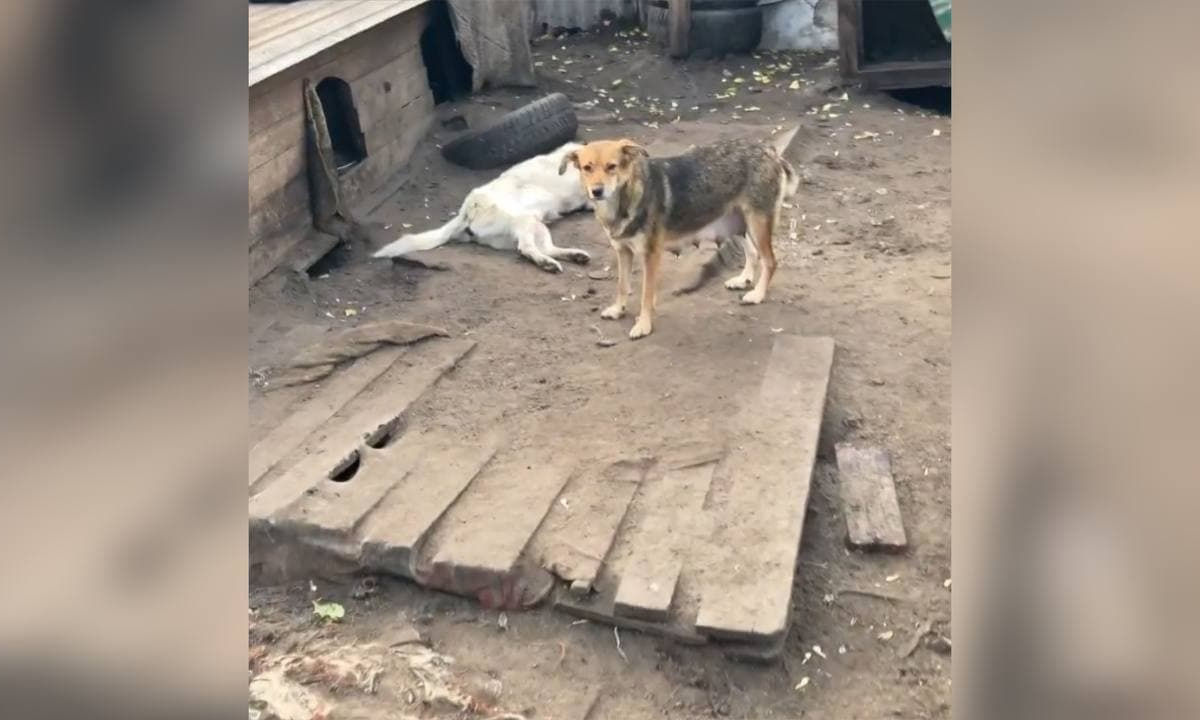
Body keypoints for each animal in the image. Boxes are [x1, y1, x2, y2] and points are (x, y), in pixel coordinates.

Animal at [367, 142, 588, 272]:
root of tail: (465, 212)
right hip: (524, 220)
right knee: (526, 248)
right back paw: (547, 264)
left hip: (535, 225)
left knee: (546, 248)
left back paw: (575, 256)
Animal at [559, 130, 796, 340]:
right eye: (587, 168)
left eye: (612, 167)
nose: (596, 191)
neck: (624, 200)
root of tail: (770, 151)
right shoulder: (623, 251)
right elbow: (622, 286)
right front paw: (618, 310)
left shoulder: (650, 256)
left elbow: (646, 295)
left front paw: (643, 325)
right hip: (733, 224)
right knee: (753, 253)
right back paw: (743, 280)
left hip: (757, 223)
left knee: (770, 260)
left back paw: (757, 294)